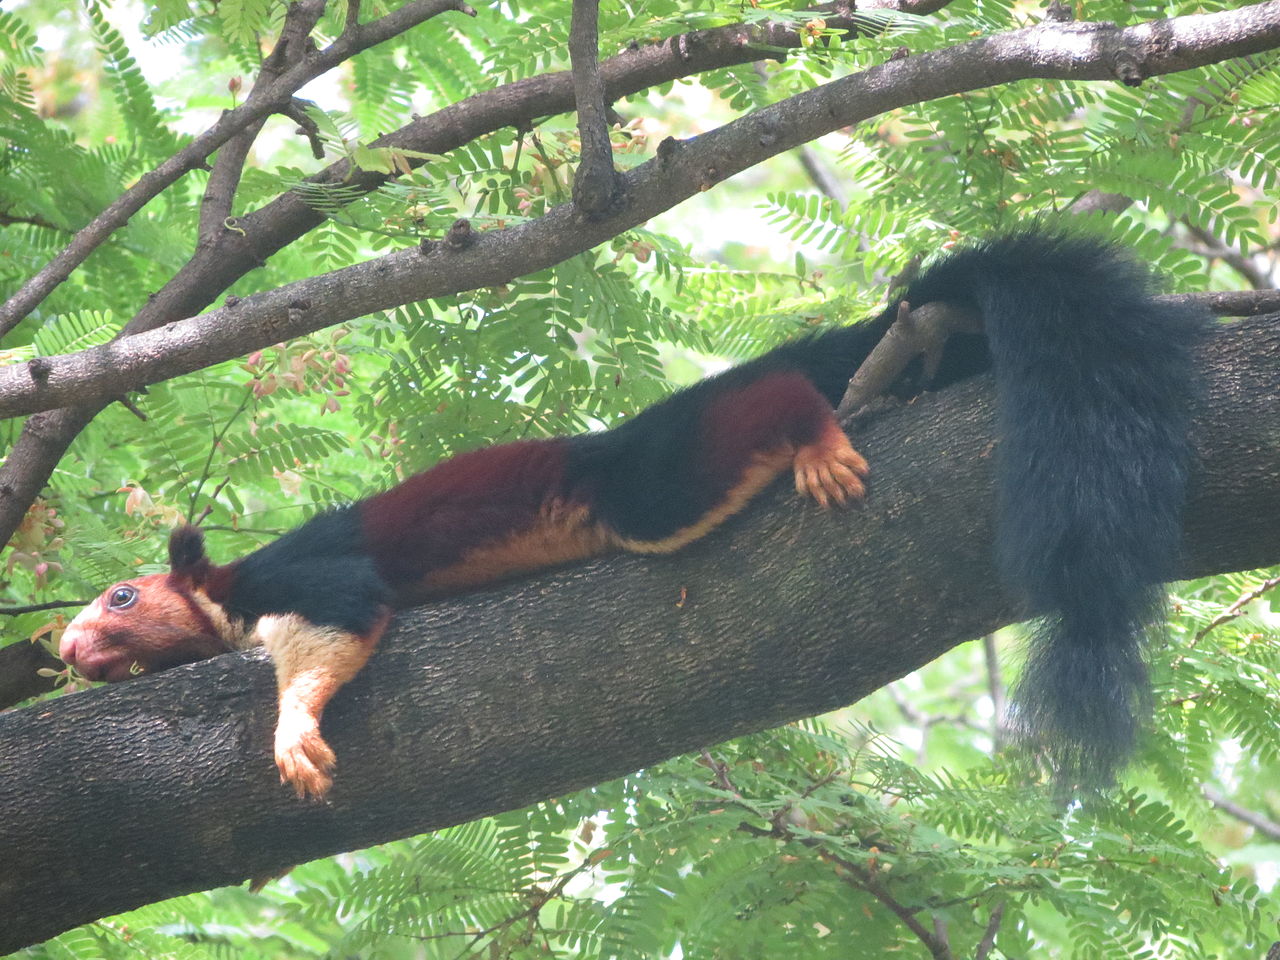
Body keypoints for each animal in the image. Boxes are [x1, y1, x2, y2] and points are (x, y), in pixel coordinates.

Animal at [55, 232, 1203, 798]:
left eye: (121, 596)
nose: (64, 648)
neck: (226, 594)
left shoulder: (302, 574)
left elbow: (337, 623)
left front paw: (294, 732)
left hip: (653, 487)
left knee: (760, 412)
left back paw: (812, 430)